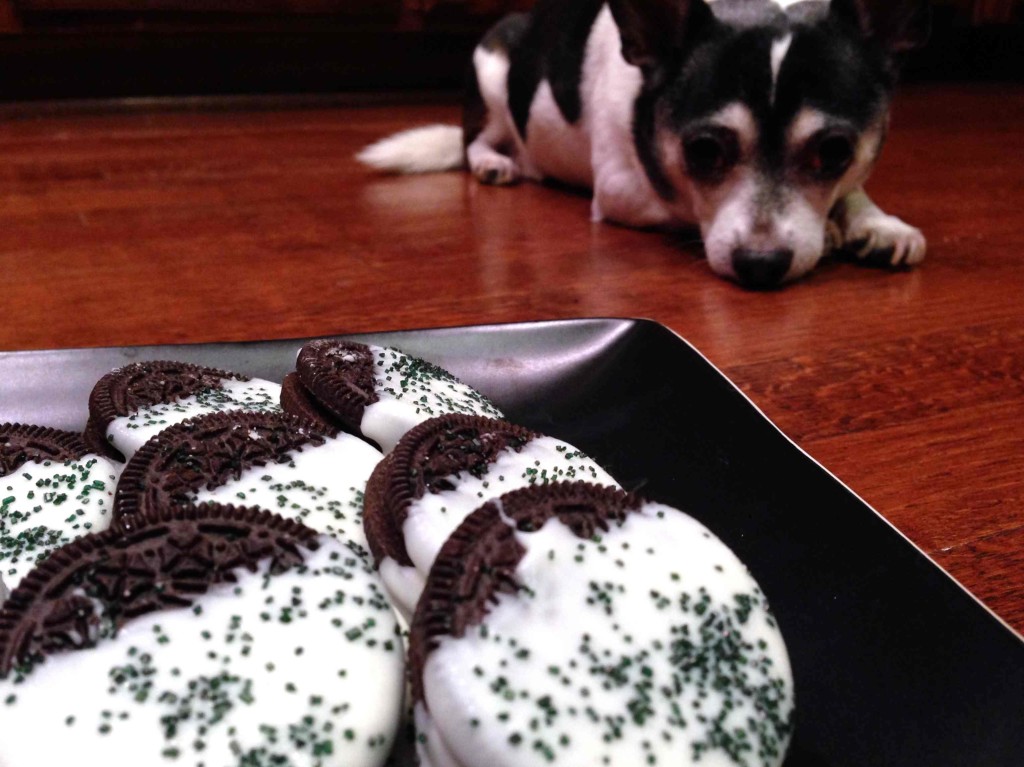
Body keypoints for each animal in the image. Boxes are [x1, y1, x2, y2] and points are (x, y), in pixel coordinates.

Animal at [358, 0, 929, 286]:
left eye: (834, 151)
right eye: (703, 151)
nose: (761, 265)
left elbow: (853, 190)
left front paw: (876, 222)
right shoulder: (622, 191)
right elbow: (687, 207)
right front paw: (830, 233)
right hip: (493, 69)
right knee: (478, 138)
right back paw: (495, 162)